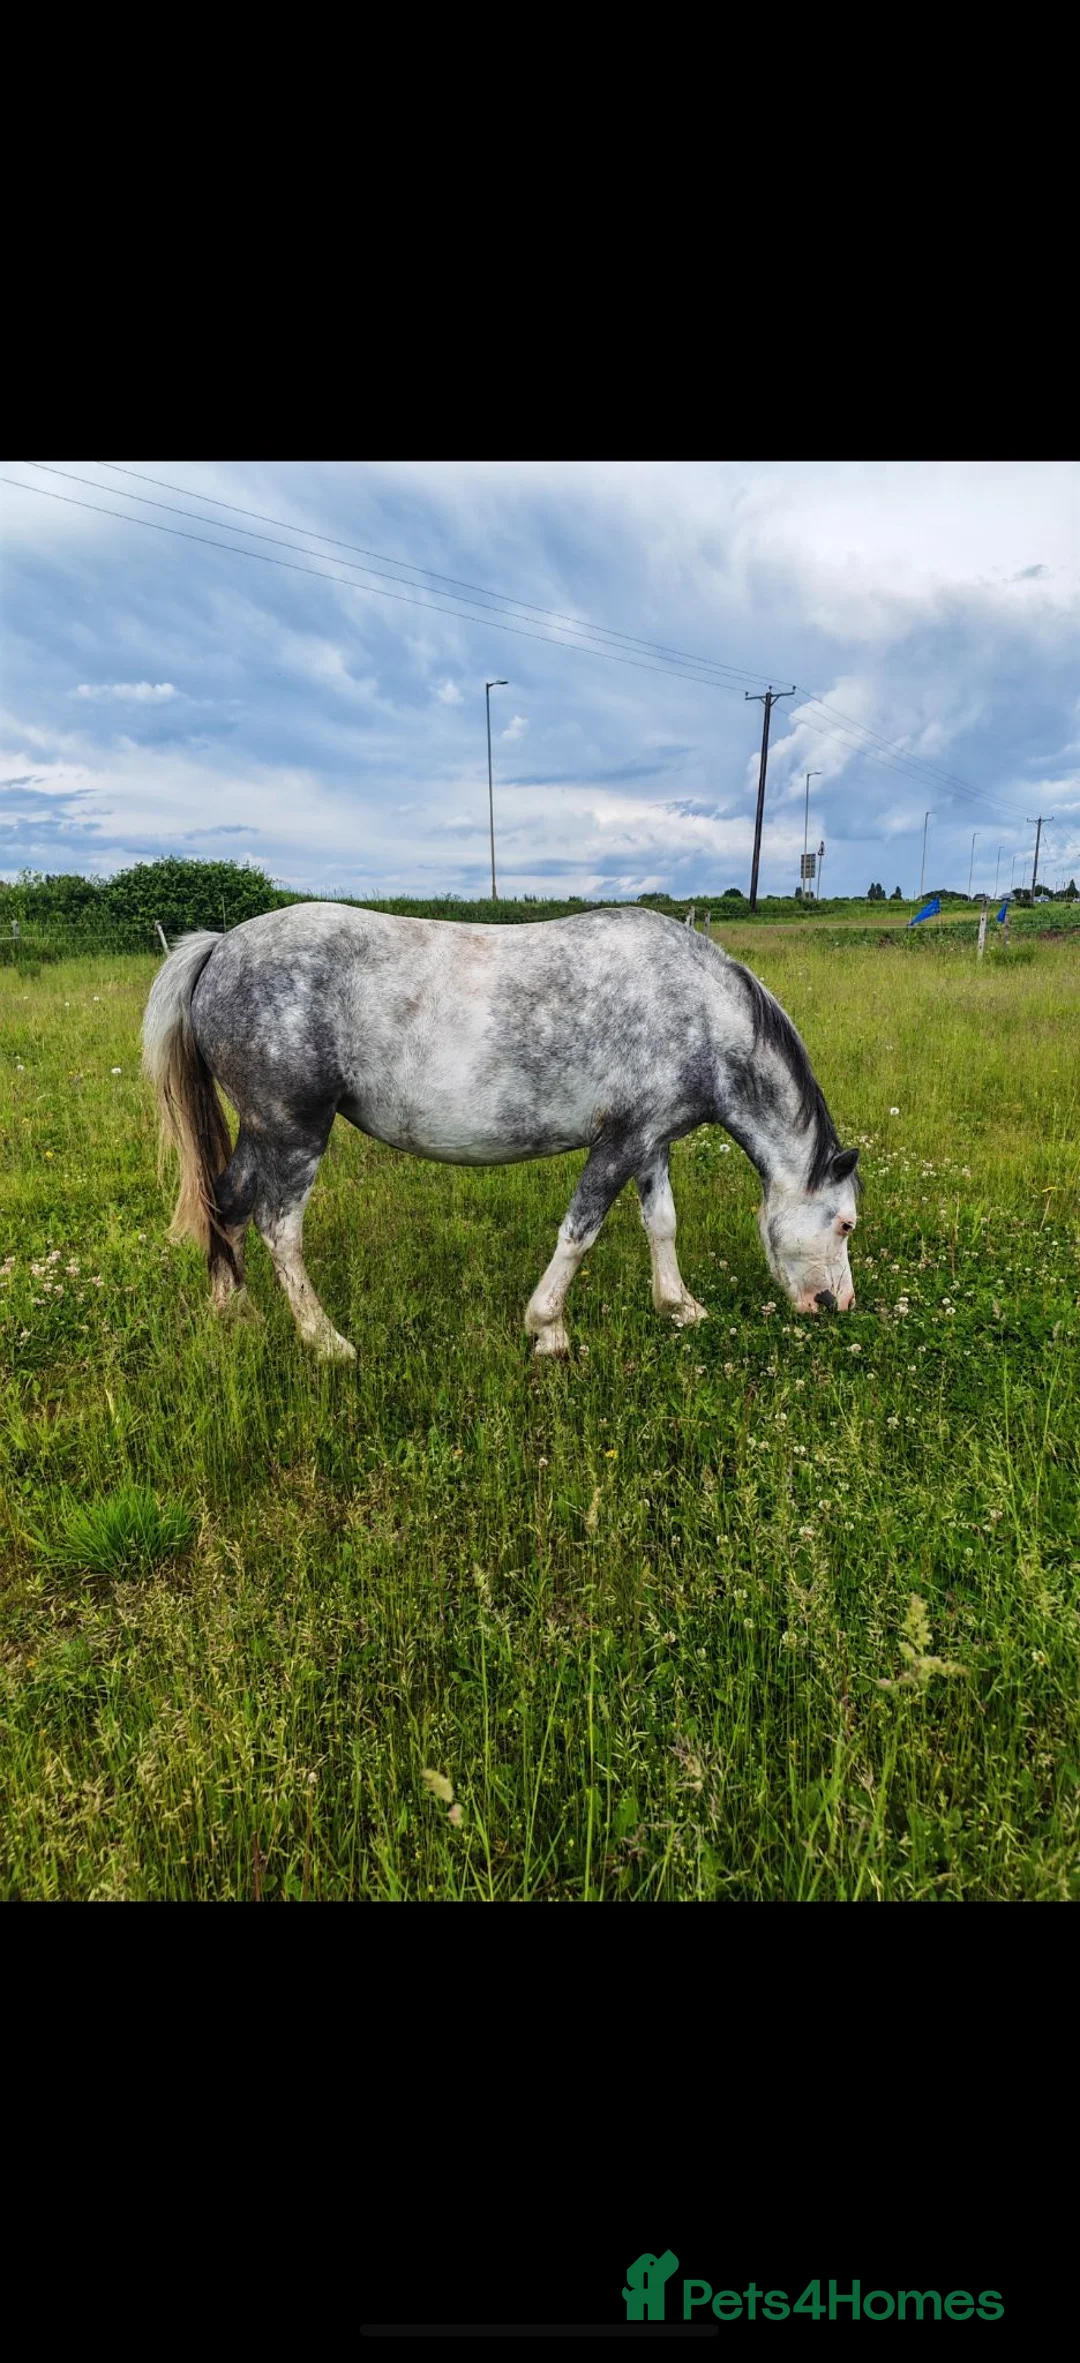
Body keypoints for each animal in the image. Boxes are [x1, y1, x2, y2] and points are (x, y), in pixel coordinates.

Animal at [141, 903, 859, 1362]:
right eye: (847, 1223)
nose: (837, 1303)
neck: (698, 1012)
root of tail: (220, 946)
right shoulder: (620, 1141)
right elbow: (580, 1231)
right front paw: (548, 1328)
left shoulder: (651, 1140)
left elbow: (662, 1223)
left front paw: (678, 1305)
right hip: (293, 1133)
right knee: (278, 1228)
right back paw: (327, 1342)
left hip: (260, 1132)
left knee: (227, 1204)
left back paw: (233, 1311)